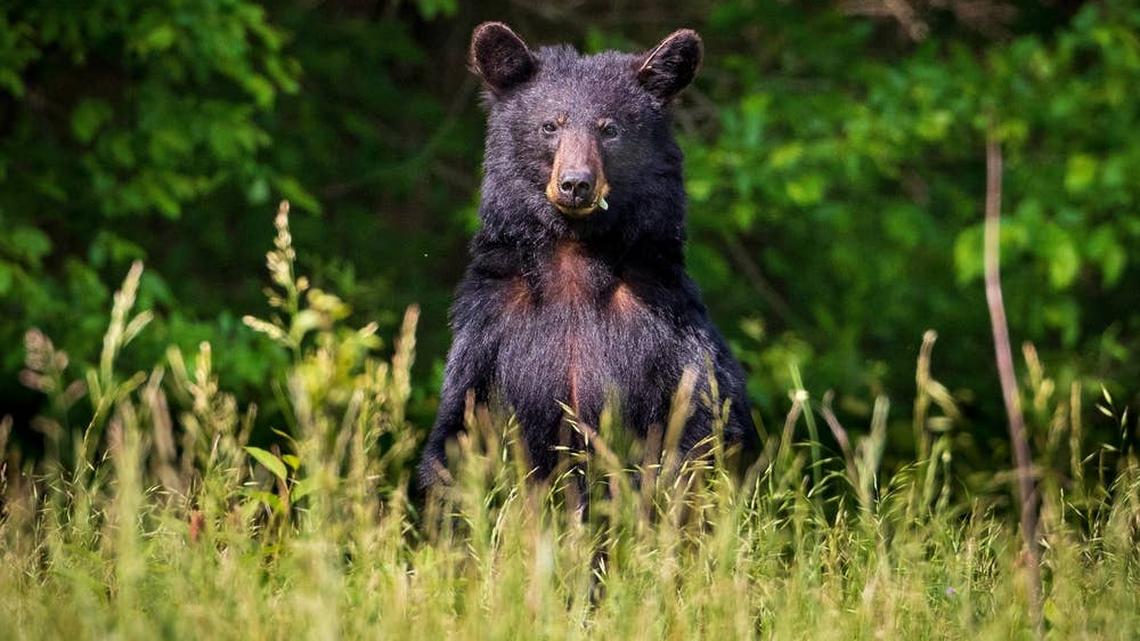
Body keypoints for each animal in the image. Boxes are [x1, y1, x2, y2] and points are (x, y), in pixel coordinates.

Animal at [417, 22, 756, 491]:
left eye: (609, 129)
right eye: (550, 125)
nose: (576, 183)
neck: (575, 258)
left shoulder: (665, 326)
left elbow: (701, 424)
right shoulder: (491, 330)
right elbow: (459, 435)